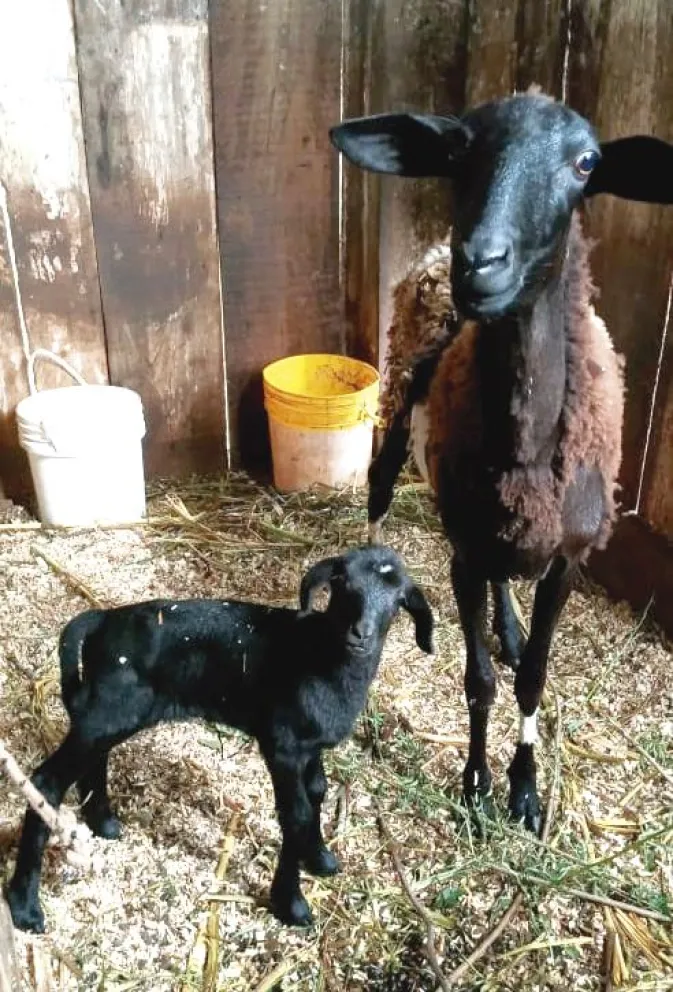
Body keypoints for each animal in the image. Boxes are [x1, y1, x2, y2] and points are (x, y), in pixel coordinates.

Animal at [5, 545, 434, 933]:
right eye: (343, 585)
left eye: (398, 600)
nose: (360, 634)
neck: (321, 656)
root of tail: (100, 619)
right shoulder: (282, 744)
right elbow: (295, 814)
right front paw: (291, 903)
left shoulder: (310, 747)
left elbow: (317, 792)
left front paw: (320, 858)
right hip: (109, 710)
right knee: (46, 782)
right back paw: (24, 906)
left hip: (111, 713)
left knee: (96, 757)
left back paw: (103, 822)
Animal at [330, 93, 673, 832]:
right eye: (458, 150)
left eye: (586, 163)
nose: (480, 264)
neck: (527, 452)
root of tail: (431, 246)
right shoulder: (461, 553)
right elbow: (479, 680)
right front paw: (476, 782)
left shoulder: (566, 559)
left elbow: (533, 677)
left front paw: (524, 788)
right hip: (399, 397)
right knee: (378, 494)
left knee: (503, 580)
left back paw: (508, 626)